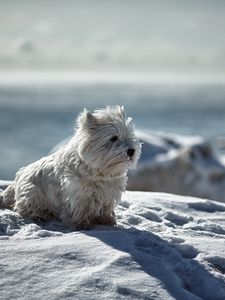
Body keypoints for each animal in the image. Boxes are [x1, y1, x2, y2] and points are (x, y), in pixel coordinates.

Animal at [0, 106, 141, 230]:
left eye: (130, 136)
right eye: (113, 138)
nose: (131, 151)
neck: (100, 171)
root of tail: (17, 179)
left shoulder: (109, 192)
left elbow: (106, 209)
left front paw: (107, 221)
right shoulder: (79, 193)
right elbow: (79, 209)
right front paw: (82, 224)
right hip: (32, 193)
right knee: (23, 208)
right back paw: (40, 215)